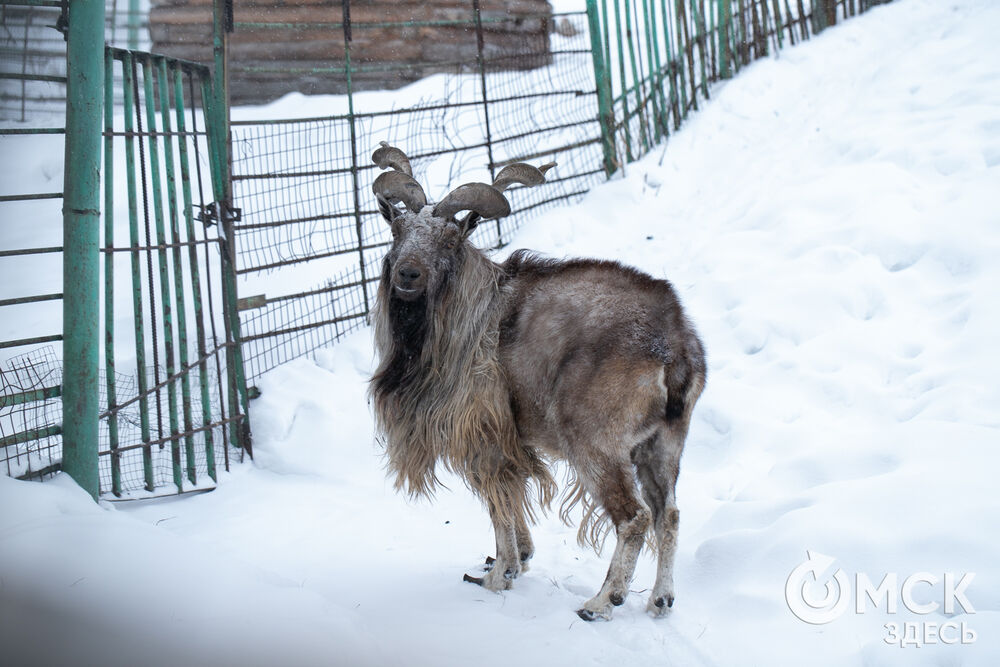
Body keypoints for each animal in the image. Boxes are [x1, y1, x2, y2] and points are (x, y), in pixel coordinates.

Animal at [368, 141, 704, 620]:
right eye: (397, 230)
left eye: (450, 238)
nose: (407, 275)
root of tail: (673, 345)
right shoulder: (511, 440)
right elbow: (510, 496)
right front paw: (516, 559)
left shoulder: (484, 435)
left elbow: (497, 499)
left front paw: (499, 574)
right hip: (662, 446)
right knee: (668, 514)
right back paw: (660, 599)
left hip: (597, 446)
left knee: (634, 517)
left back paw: (602, 601)